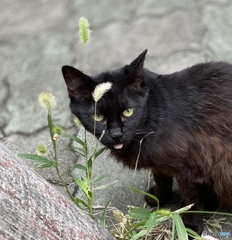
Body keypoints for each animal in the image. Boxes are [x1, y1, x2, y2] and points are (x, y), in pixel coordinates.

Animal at [62, 49, 232, 235]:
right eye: (98, 116)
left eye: (128, 111)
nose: (116, 134)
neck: (155, 116)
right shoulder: (161, 163)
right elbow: (161, 178)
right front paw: (159, 197)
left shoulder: (193, 168)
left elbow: (190, 201)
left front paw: (189, 230)